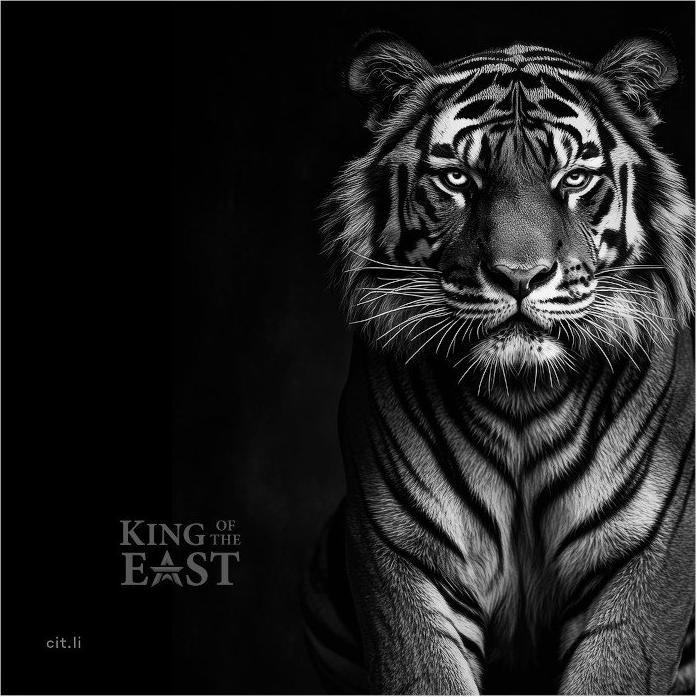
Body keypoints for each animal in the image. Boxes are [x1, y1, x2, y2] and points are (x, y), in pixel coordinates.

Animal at [301, 32, 695, 695]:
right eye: (459, 178)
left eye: (574, 177)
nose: (519, 276)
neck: (522, 394)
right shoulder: (401, 551)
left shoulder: (647, 553)